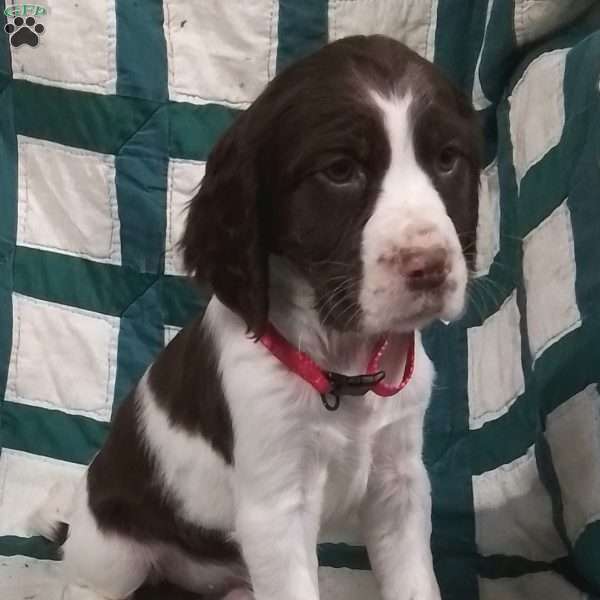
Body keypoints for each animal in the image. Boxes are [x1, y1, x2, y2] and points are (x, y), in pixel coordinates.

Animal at [34, 34, 482, 600]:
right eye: (340, 172)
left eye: (447, 160)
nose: (431, 268)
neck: (343, 366)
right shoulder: (276, 507)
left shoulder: (399, 483)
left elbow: (415, 582)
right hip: (115, 547)